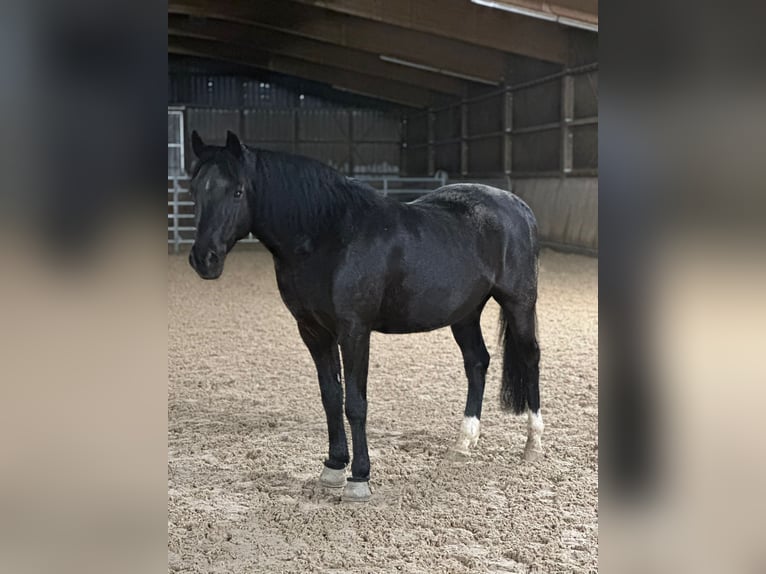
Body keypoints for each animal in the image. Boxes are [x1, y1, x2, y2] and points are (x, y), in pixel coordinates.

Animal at [187, 130, 543, 502]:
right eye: (194, 190)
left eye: (237, 191)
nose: (204, 259)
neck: (329, 235)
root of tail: (519, 206)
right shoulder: (313, 331)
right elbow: (331, 397)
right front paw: (333, 467)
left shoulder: (354, 331)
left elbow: (355, 403)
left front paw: (359, 478)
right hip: (465, 313)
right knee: (477, 362)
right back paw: (462, 445)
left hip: (519, 302)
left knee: (530, 357)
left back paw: (533, 445)